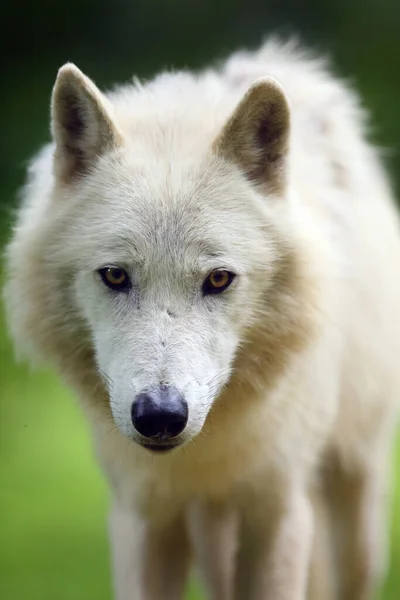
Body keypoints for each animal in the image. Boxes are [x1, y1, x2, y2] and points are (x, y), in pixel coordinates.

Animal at [3, 38, 400, 600]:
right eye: (115, 276)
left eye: (218, 280)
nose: (160, 416)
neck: (201, 459)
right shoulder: (142, 517)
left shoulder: (278, 512)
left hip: (356, 512)